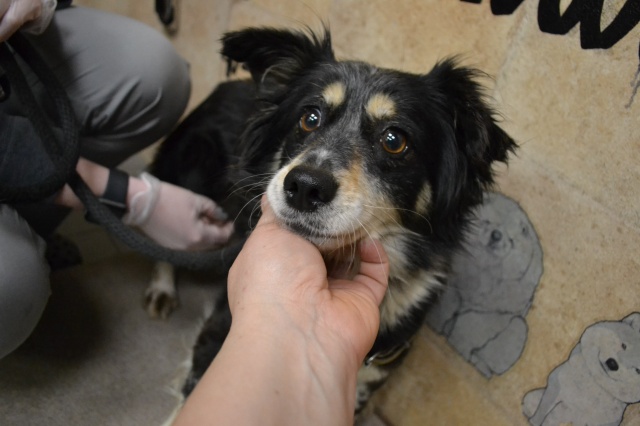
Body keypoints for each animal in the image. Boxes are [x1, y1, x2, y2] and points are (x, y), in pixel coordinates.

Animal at [152, 26, 517, 417]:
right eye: (309, 118)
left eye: (394, 140)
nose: (303, 187)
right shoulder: (222, 332)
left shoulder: (368, 380)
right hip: (188, 173)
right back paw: (162, 286)